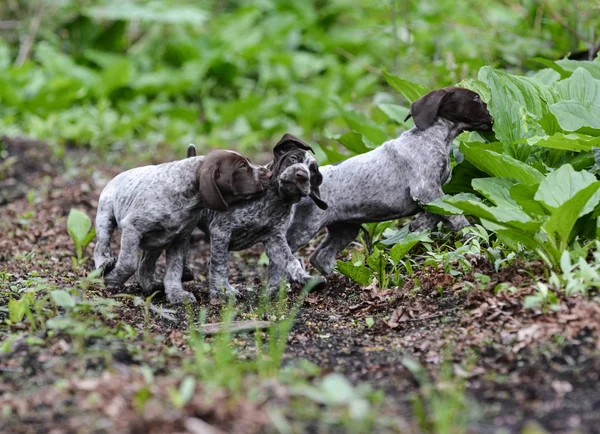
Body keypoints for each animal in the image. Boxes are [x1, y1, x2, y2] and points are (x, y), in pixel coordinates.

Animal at [93, 149, 270, 306]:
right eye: (242, 166)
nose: (268, 173)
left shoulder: (180, 239)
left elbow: (174, 270)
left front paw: (177, 293)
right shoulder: (132, 228)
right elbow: (128, 263)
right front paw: (112, 279)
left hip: (157, 243)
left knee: (145, 265)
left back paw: (151, 285)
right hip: (105, 216)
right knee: (100, 247)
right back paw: (105, 264)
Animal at [288, 85, 494, 274]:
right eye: (476, 98)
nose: (491, 115)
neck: (432, 136)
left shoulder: (431, 192)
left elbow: (439, 211)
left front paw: (419, 227)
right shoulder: (425, 189)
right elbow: (454, 215)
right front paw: (472, 236)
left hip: (345, 229)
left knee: (321, 257)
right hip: (304, 228)